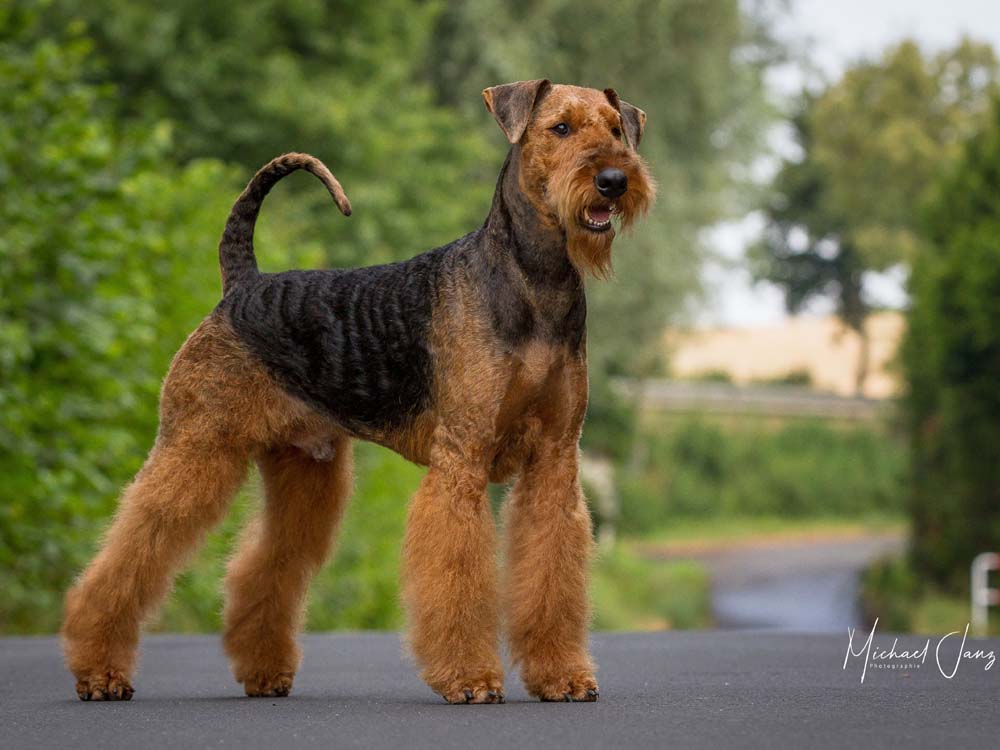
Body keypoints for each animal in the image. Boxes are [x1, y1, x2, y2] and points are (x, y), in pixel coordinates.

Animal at [62, 81, 656, 704]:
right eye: (560, 128)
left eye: (616, 127)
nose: (614, 179)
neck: (534, 281)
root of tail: (241, 284)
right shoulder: (462, 457)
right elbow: (457, 572)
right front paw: (470, 678)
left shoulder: (555, 460)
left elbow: (551, 572)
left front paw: (562, 676)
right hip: (196, 443)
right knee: (131, 548)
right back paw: (101, 673)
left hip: (304, 469)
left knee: (263, 565)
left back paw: (264, 672)